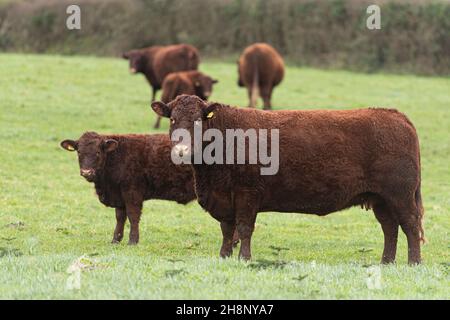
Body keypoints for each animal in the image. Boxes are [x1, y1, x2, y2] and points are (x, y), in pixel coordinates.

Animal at [58, 131, 195, 244]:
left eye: (97, 152)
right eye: (79, 152)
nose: (86, 172)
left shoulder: (132, 192)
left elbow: (132, 215)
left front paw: (133, 240)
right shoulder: (119, 196)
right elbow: (120, 217)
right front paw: (115, 240)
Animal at [151, 95, 426, 264]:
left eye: (198, 121)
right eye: (172, 119)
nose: (182, 150)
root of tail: (397, 116)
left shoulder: (247, 193)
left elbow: (244, 228)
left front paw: (244, 258)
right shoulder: (224, 197)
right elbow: (227, 230)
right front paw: (224, 256)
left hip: (400, 196)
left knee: (410, 225)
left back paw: (414, 262)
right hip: (380, 199)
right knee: (390, 228)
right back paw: (386, 262)